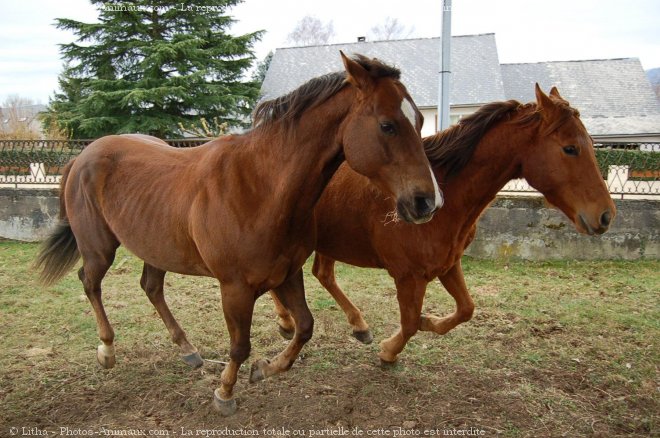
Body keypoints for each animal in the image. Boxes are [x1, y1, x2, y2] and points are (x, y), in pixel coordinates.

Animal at [34, 53, 438, 416]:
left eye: (419, 120)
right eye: (387, 125)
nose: (426, 202)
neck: (261, 188)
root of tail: (84, 155)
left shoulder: (287, 274)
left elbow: (305, 327)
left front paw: (265, 369)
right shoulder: (235, 288)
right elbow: (240, 345)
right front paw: (225, 392)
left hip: (156, 248)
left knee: (151, 287)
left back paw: (187, 349)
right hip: (99, 248)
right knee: (90, 282)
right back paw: (107, 350)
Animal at [270, 84, 616, 362]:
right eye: (570, 148)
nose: (606, 215)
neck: (445, 194)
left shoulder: (447, 265)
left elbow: (466, 309)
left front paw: (429, 322)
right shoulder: (409, 276)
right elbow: (410, 323)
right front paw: (389, 350)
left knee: (322, 274)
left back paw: (352, 325)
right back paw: (291, 322)